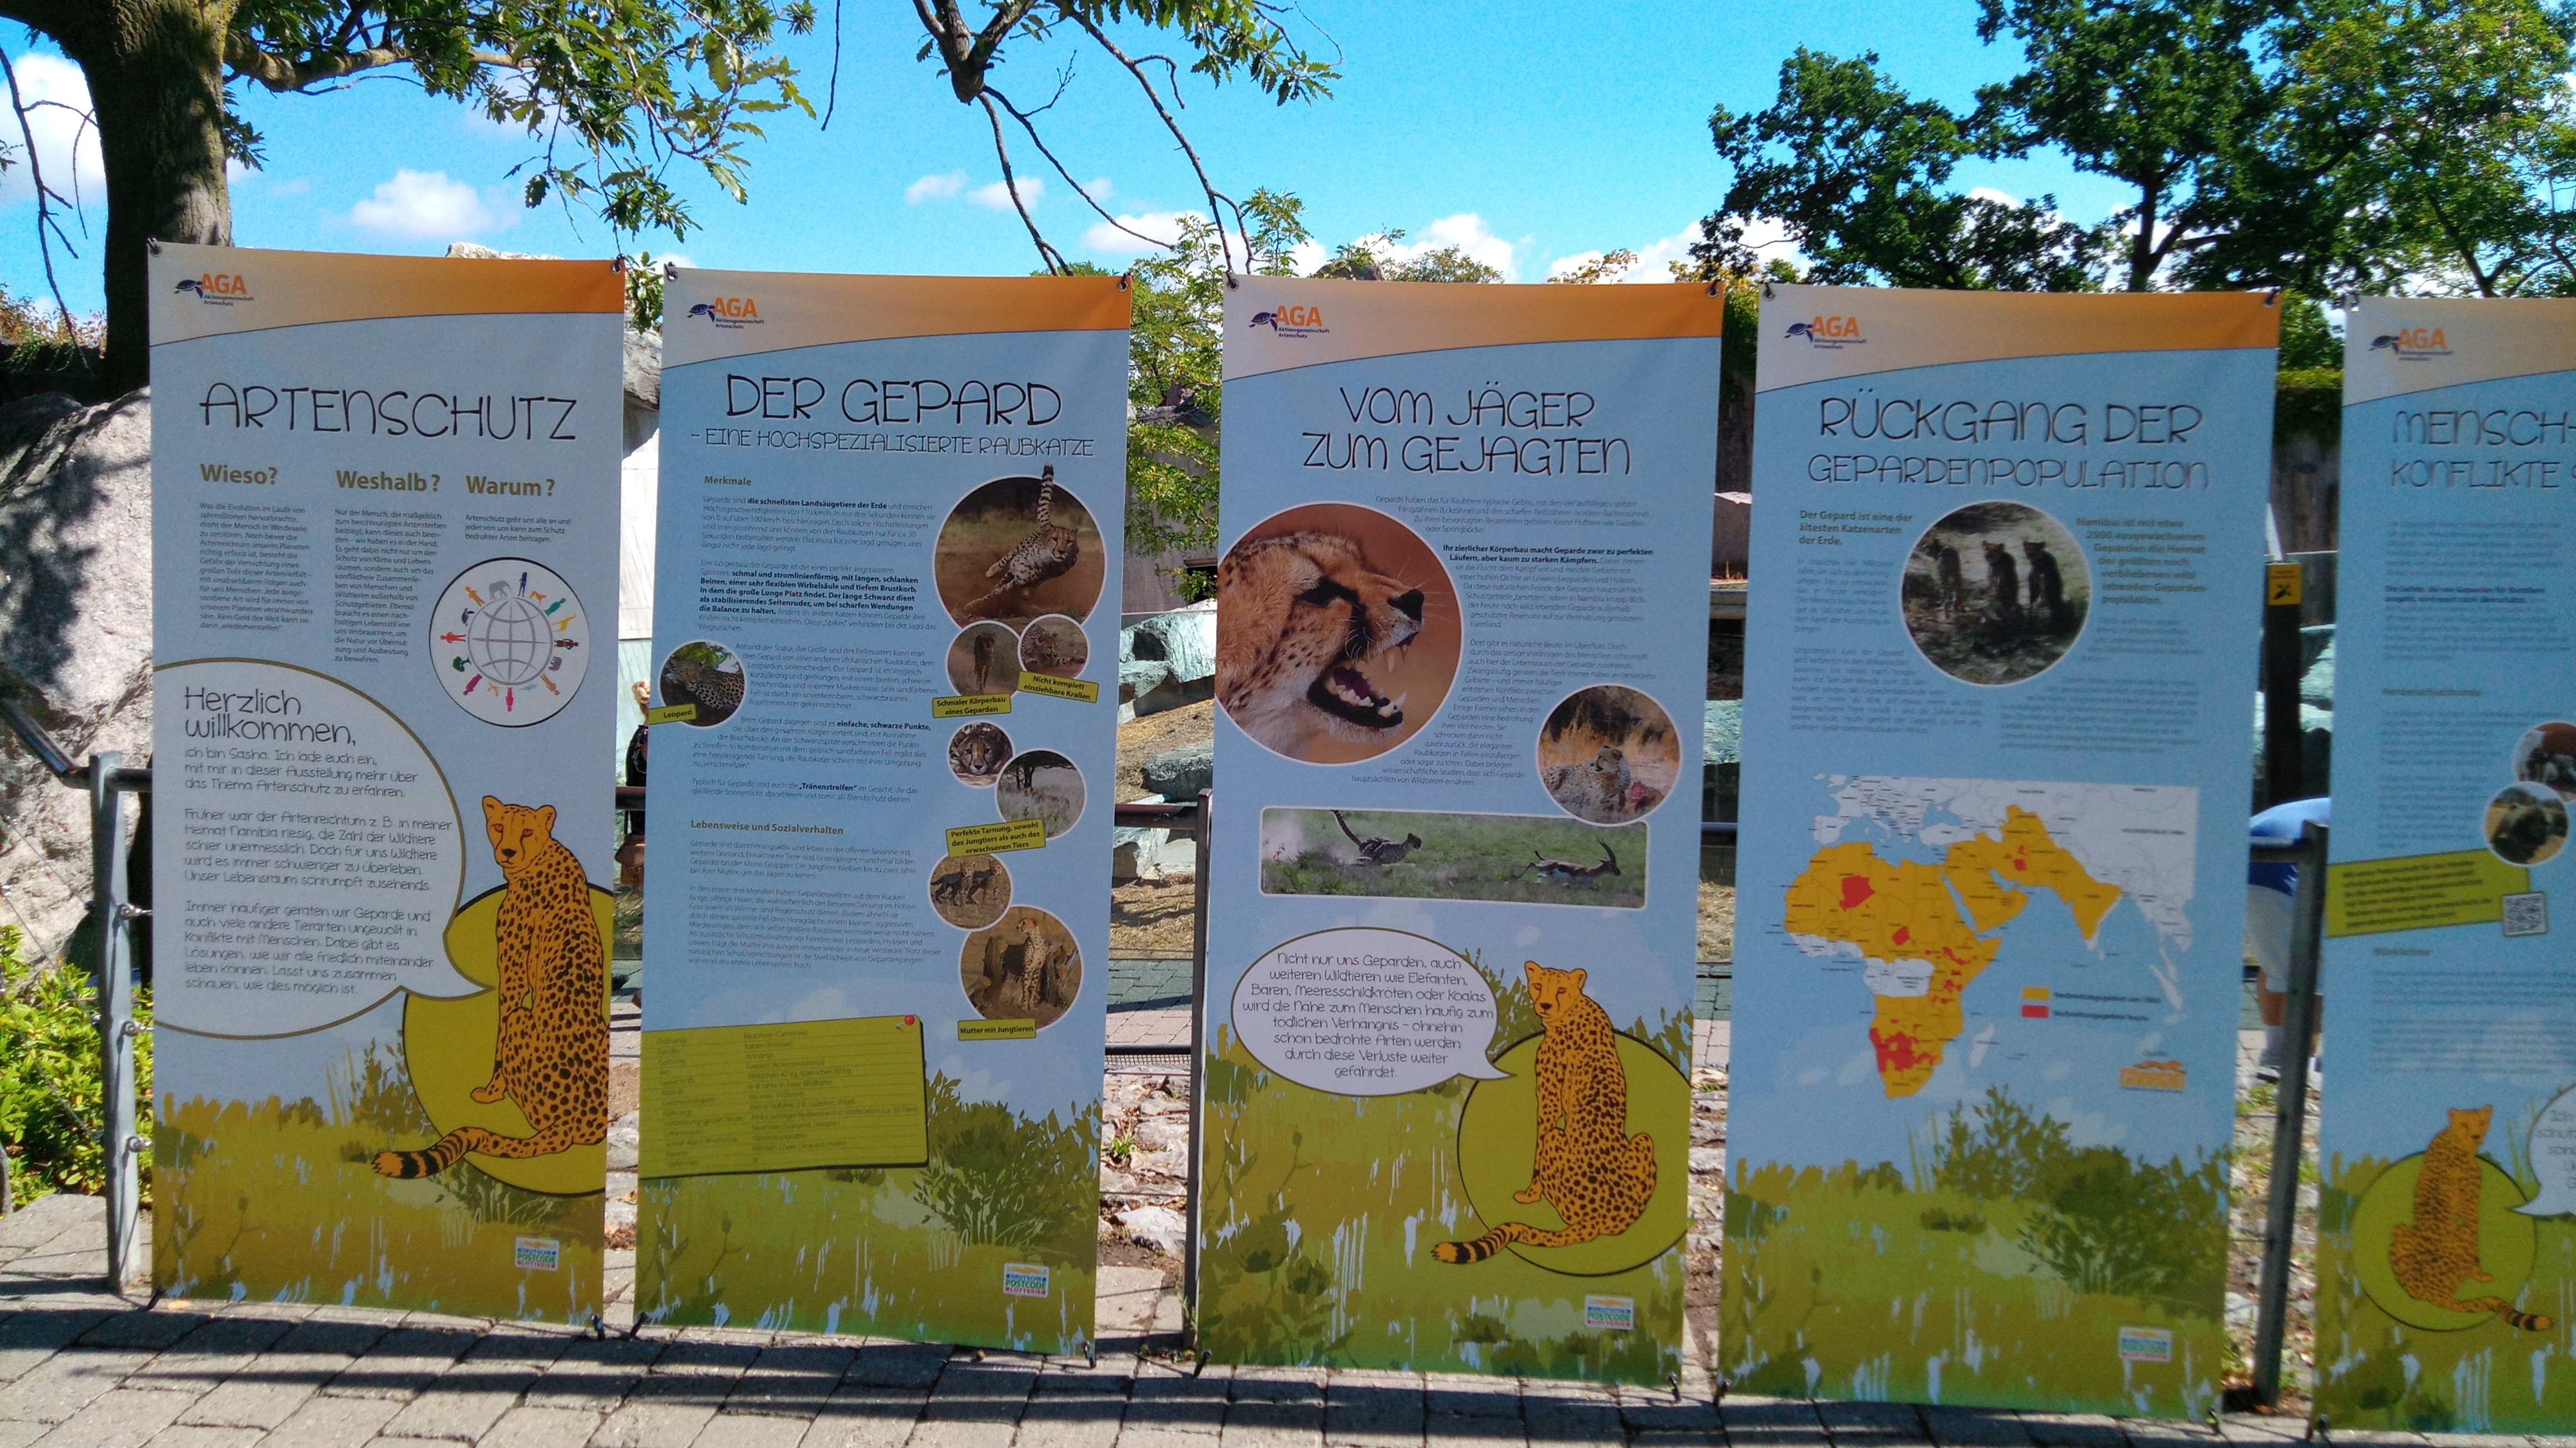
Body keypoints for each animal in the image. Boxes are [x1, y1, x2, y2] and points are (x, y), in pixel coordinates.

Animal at [1434, 961, 1656, 1263]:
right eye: (1539, 985)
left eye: (1561, 989)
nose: (1546, 1005)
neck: (1575, 1008)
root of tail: (1598, 1218)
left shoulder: (1549, 1105)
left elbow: (1539, 1145)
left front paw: (1530, 1195)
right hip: (1644, 1141)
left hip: (1559, 1145)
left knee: (1551, 1140)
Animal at [2389, 1105, 2553, 1330]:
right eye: (2465, 1124)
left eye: (2482, 1122)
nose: (2476, 1136)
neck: (2455, 1138)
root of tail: (2434, 1294)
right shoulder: (2469, 1211)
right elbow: (2475, 1236)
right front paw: (2481, 1273)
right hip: (2457, 1234)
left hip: (2400, 1229)